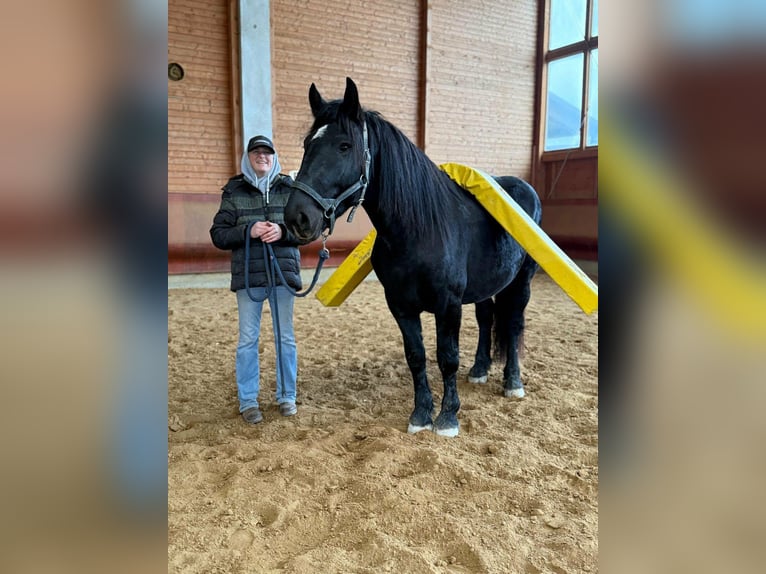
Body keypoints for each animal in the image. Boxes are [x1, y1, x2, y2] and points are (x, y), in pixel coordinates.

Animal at [284, 77, 542, 437]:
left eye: (345, 146)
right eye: (308, 144)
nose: (298, 217)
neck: (419, 231)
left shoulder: (448, 305)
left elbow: (447, 357)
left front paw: (448, 418)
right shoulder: (401, 305)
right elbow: (416, 356)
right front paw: (421, 415)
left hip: (522, 282)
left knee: (515, 324)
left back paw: (512, 382)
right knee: (487, 318)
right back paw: (479, 370)